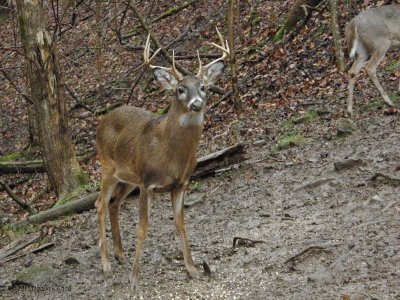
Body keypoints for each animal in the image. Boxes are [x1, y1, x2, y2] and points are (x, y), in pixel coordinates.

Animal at [95, 29, 230, 290]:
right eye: (180, 89)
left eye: (204, 87)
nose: (197, 103)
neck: (171, 156)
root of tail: (101, 121)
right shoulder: (148, 183)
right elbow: (142, 229)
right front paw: (134, 279)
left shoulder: (179, 184)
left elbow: (181, 225)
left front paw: (192, 269)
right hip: (107, 168)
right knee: (100, 205)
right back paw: (105, 264)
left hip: (128, 178)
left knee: (114, 204)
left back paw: (120, 254)